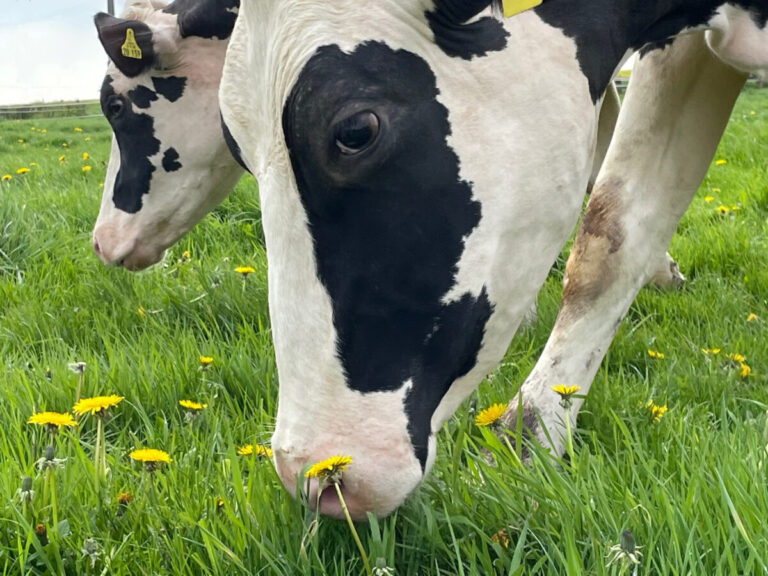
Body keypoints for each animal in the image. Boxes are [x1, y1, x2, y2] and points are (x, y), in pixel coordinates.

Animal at [217, 1, 767, 519]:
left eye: (355, 132)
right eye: (237, 149)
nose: (316, 476)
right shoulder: (679, 53)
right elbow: (612, 232)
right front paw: (530, 439)